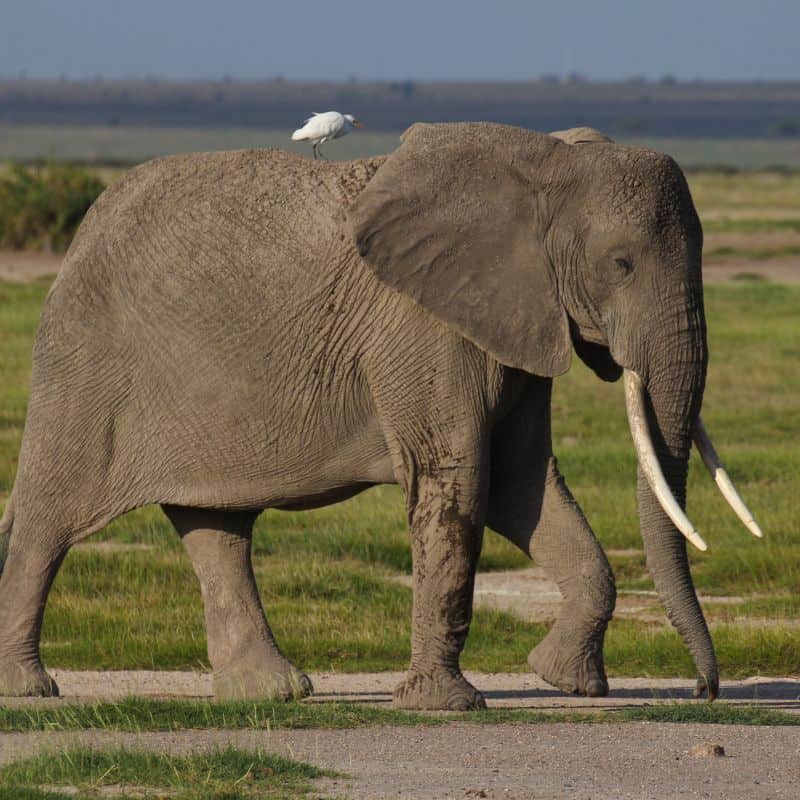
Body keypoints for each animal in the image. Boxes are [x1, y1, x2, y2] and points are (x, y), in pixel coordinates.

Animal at [0, 122, 764, 708]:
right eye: (622, 263)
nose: (705, 693)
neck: (545, 161)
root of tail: (83, 228)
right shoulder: (426, 325)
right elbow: (458, 478)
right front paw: (448, 706)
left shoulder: (516, 319)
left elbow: (523, 483)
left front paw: (569, 683)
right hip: (85, 360)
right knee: (48, 518)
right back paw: (31, 690)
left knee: (216, 527)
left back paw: (272, 694)